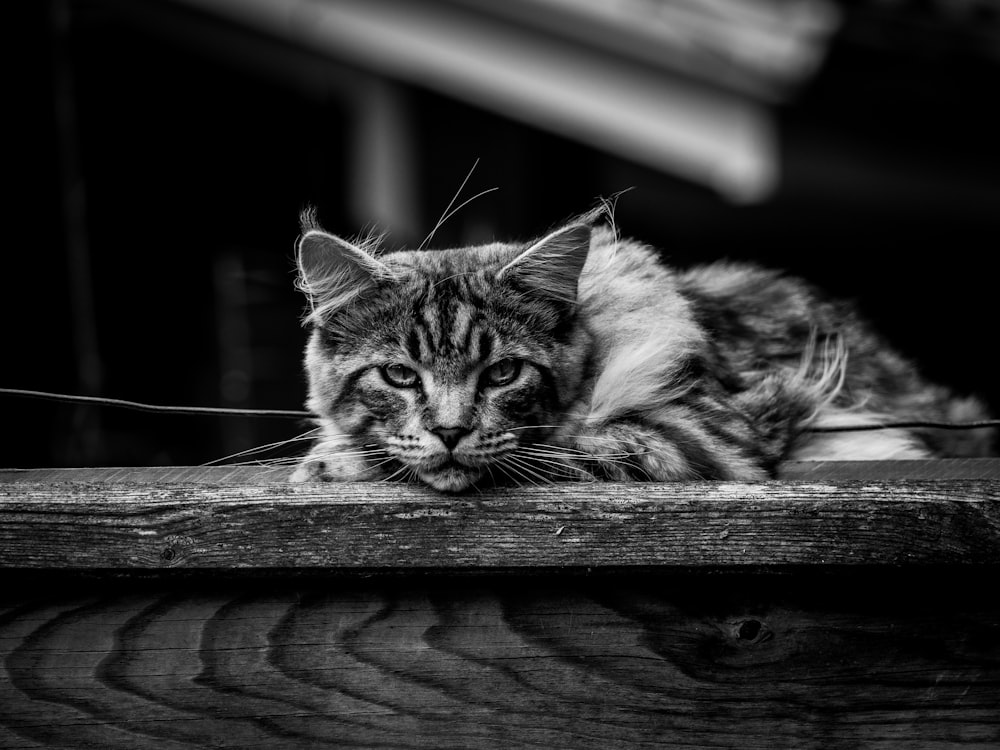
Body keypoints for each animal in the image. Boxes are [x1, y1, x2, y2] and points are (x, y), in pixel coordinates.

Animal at [290, 209, 992, 490]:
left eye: (503, 372)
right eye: (400, 375)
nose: (451, 432)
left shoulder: (704, 431)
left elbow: (560, 452)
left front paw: (334, 464)